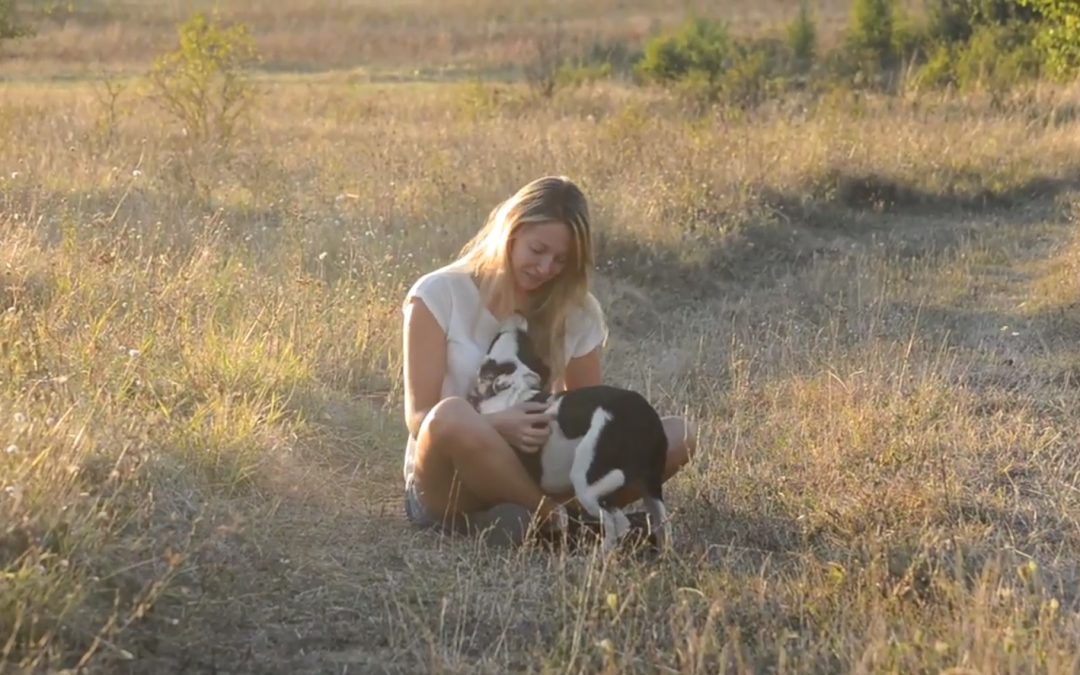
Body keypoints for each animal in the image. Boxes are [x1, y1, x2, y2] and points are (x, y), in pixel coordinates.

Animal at [468, 313, 669, 550]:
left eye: (496, 339)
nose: (517, 315)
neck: (512, 390)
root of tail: (645, 417)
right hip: (651, 486)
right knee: (659, 521)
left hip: (587, 480)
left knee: (616, 522)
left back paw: (600, 553)